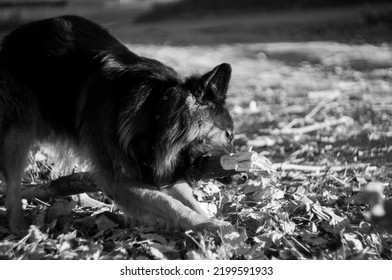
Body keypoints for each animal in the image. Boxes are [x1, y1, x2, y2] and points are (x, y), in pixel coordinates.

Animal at [0, 15, 236, 234]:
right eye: (228, 135)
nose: (239, 175)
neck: (155, 110)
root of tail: (12, 36)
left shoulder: (155, 168)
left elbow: (187, 199)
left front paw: (212, 221)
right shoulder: (119, 178)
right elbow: (167, 202)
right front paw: (208, 224)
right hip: (18, 135)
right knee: (12, 187)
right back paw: (19, 227)